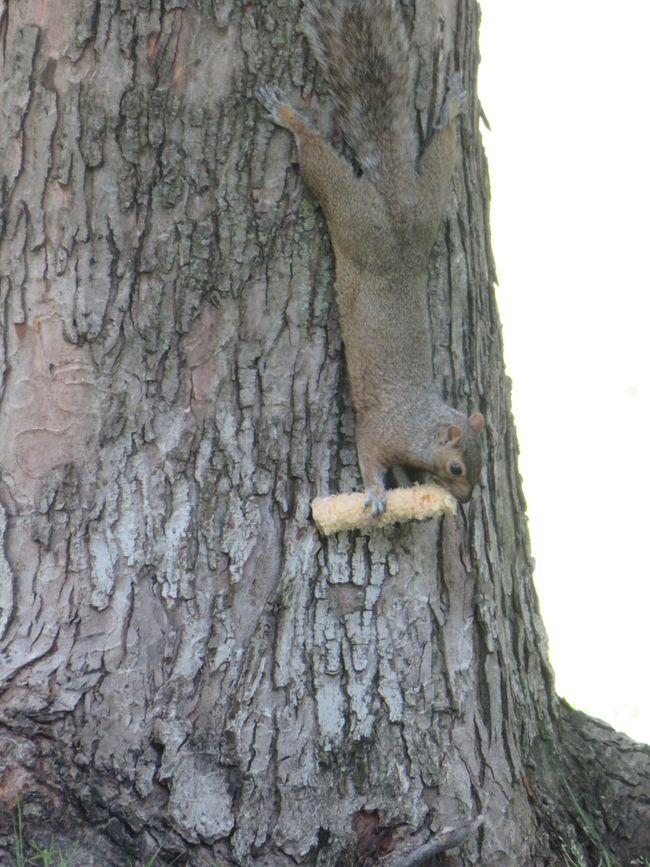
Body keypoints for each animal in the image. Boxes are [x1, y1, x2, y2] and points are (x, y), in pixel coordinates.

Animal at [258, 0, 480, 516]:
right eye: (457, 468)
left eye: (478, 468)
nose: (464, 500)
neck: (418, 423)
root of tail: (396, 216)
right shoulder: (378, 430)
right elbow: (369, 458)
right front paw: (379, 494)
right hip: (351, 212)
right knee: (319, 160)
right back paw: (290, 116)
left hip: (425, 206)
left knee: (439, 154)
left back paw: (452, 108)